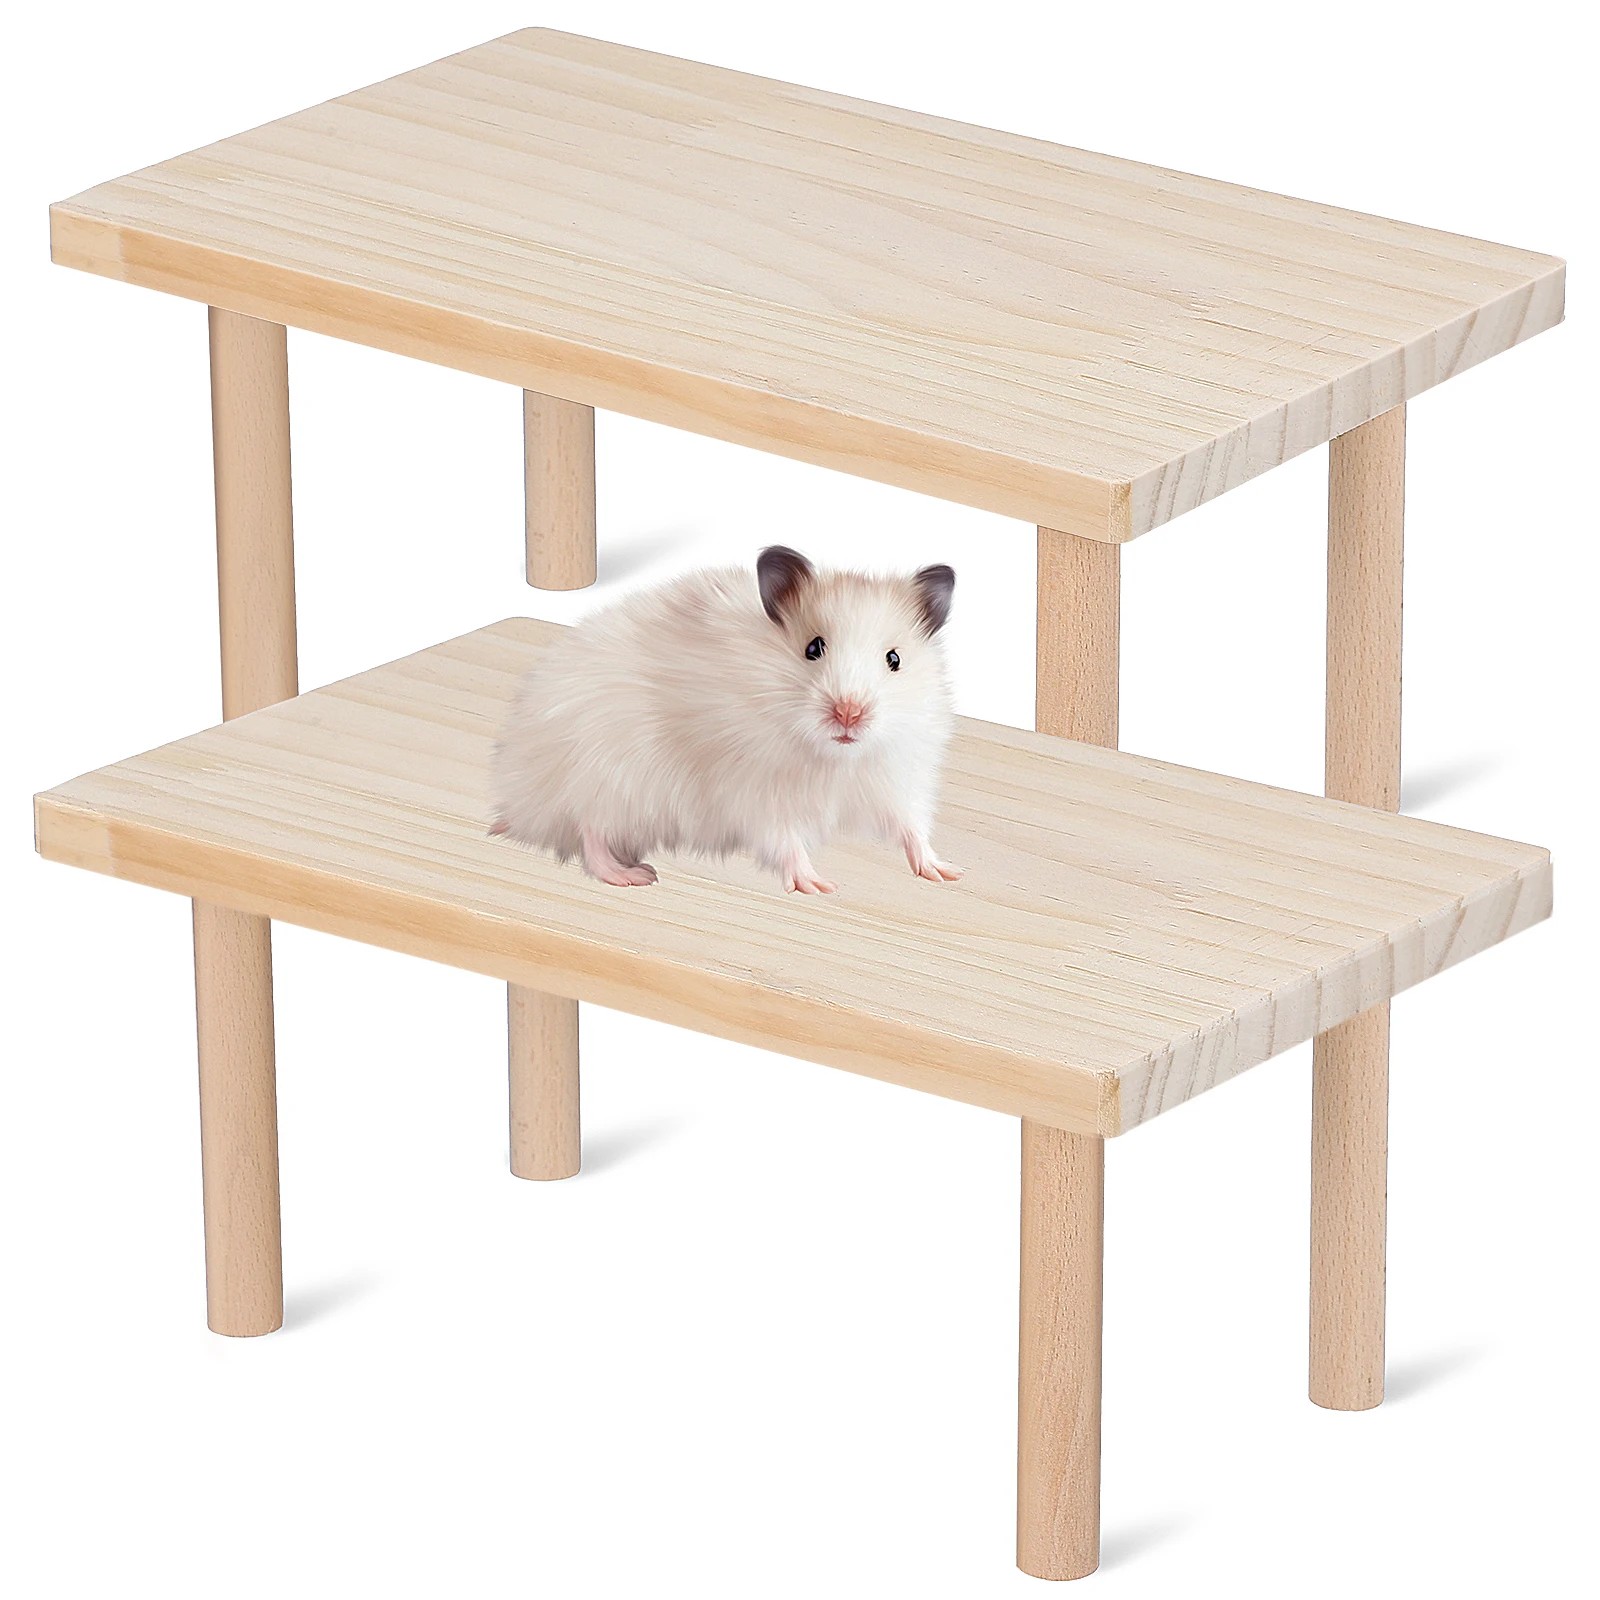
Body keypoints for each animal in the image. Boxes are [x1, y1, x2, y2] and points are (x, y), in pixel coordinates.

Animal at [489, 546, 962, 893]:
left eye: (894, 659)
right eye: (812, 648)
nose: (849, 712)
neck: (834, 758)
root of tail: (520, 799)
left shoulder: (897, 780)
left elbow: (912, 828)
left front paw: (945, 872)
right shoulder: (758, 796)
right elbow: (786, 842)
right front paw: (820, 886)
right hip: (606, 777)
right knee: (589, 832)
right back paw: (634, 875)